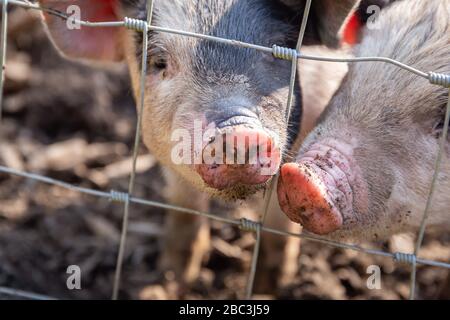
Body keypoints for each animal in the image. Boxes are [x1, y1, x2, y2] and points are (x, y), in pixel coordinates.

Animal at [37, 0, 356, 290]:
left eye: (279, 51)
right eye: (159, 61)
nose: (236, 132)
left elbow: (281, 220)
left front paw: (271, 288)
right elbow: (184, 208)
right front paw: (172, 279)